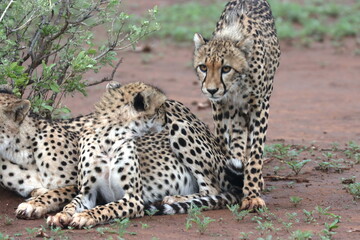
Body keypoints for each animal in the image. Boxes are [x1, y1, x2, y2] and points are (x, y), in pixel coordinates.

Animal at [194, 0, 282, 209]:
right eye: (203, 67)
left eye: (226, 68)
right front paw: (231, 174)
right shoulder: (220, 107)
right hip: (235, 112)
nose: (211, 90)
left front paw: (251, 194)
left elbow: (256, 151)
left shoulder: (260, 105)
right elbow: (222, 144)